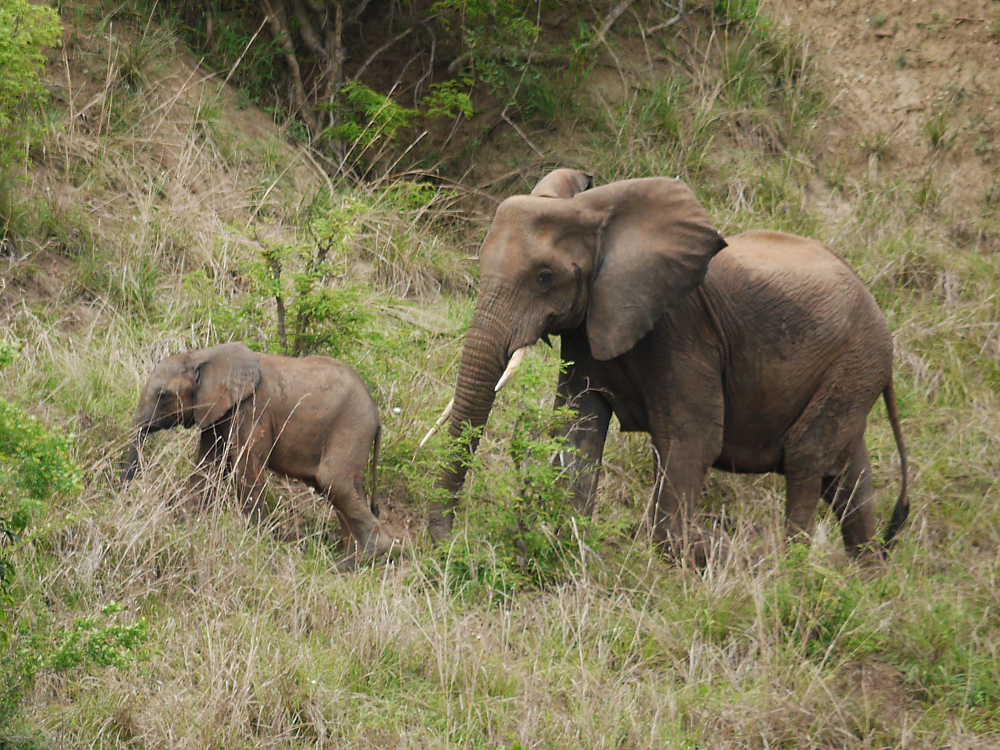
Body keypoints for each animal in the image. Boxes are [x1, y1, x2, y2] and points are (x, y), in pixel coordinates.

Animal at [125, 344, 402, 568]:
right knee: (343, 489)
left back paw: (359, 559)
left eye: (163, 396)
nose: (123, 498)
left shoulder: (253, 409)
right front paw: (182, 523)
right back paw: (351, 559)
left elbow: (245, 466)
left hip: (352, 426)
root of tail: (377, 415)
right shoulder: (217, 415)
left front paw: (254, 540)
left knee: (334, 481)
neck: (202, 356)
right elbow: (207, 467)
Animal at [426, 170, 912, 564]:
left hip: (854, 362)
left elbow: (690, 439)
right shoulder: (589, 326)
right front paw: (569, 541)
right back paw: (863, 580)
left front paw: (712, 553)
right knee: (848, 477)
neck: (596, 212)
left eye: (545, 277)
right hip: (855, 371)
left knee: (807, 458)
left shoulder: (682, 328)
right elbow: (576, 427)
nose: (449, 546)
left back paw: (787, 568)